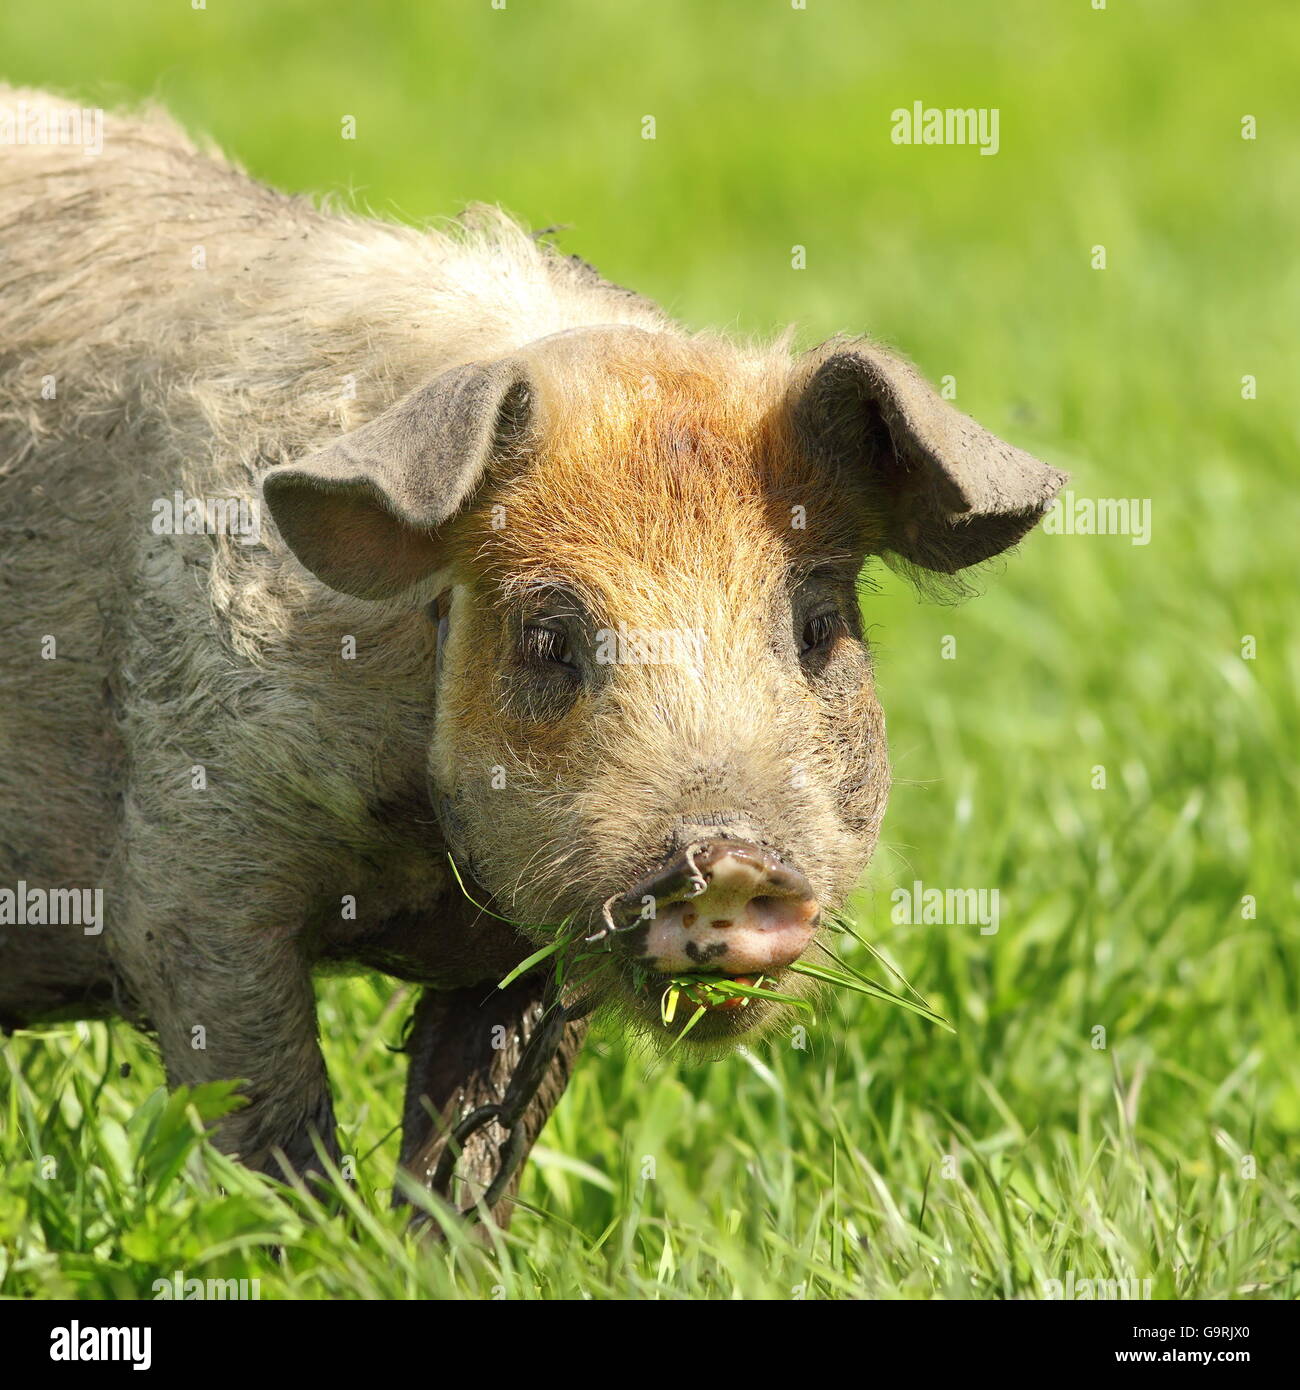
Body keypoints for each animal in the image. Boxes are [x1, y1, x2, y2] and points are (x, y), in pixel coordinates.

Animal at [0, 88, 1065, 1211]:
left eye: (818, 625)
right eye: (549, 634)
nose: (730, 860)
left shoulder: (526, 958)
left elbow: (475, 1146)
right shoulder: (193, 865)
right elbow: (268, 1113)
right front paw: (312, 1234)